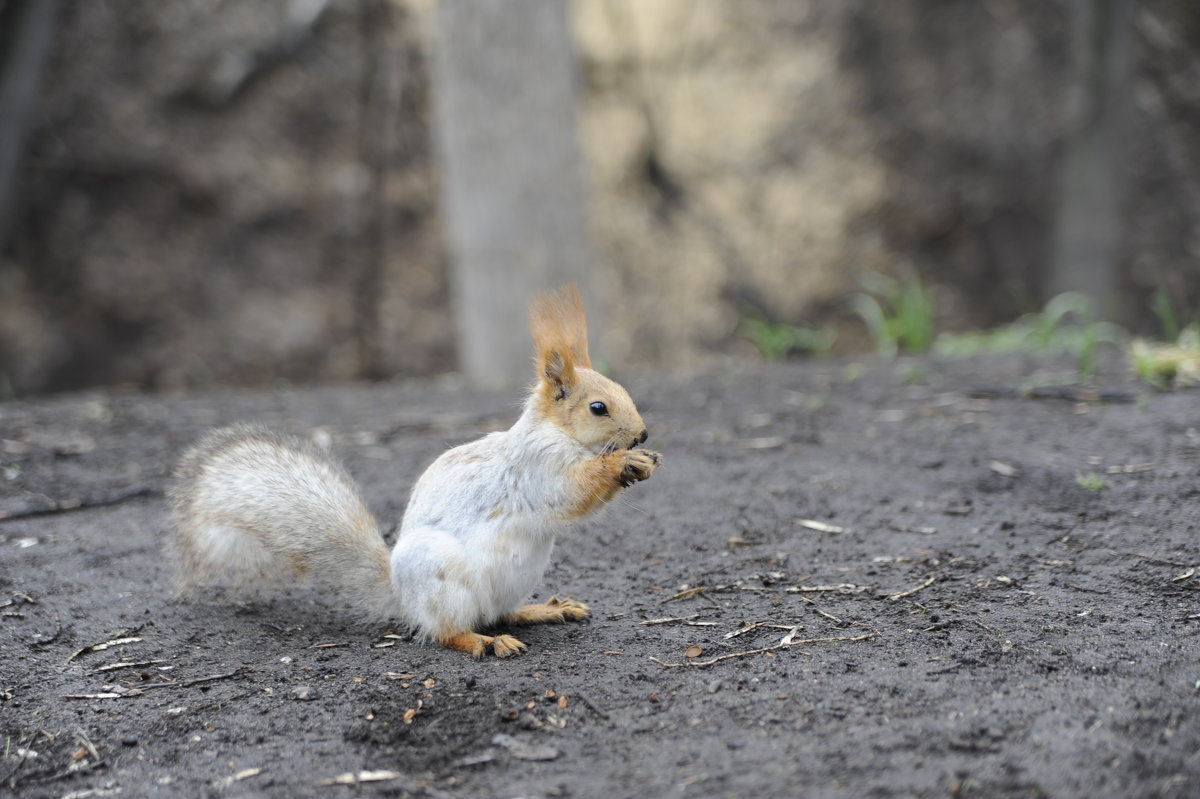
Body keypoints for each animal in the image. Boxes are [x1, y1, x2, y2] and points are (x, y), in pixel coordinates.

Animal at [166, 283, 667, 657]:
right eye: (598, 407)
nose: (642, 435)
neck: (557, 433)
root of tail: (401, 594)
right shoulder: (537, 467)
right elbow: (570, 493)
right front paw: (623, 462)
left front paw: (644, 463)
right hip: (443, 581)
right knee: (449, 631)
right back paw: (486, 642)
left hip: (514, 579)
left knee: (499, 612)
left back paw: (541, 610)